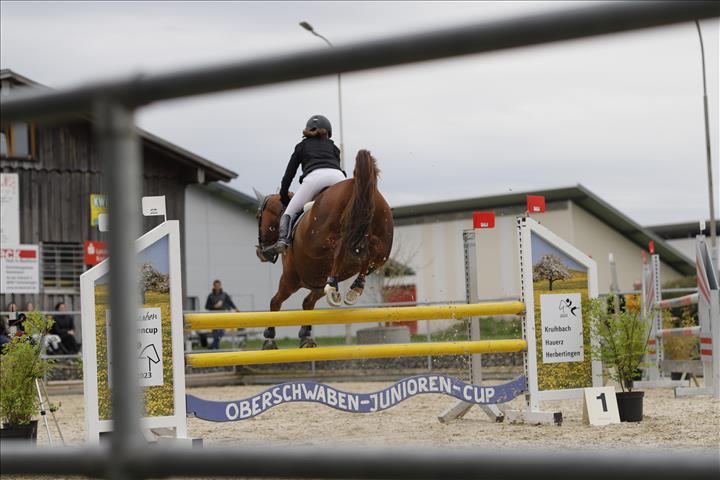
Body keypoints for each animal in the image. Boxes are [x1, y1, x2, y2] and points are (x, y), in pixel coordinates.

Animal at [255, 149, 394, 349]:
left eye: (258, 215)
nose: (261, 252)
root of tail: (354, 185)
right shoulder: (318, 283)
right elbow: (308, 303)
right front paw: (306, 336)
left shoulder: (289, 279)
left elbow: (276, 302)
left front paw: (269, 338)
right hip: (382, 246)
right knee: (369, 254)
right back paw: (354, 289)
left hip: (321, 242)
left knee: (344, 248)